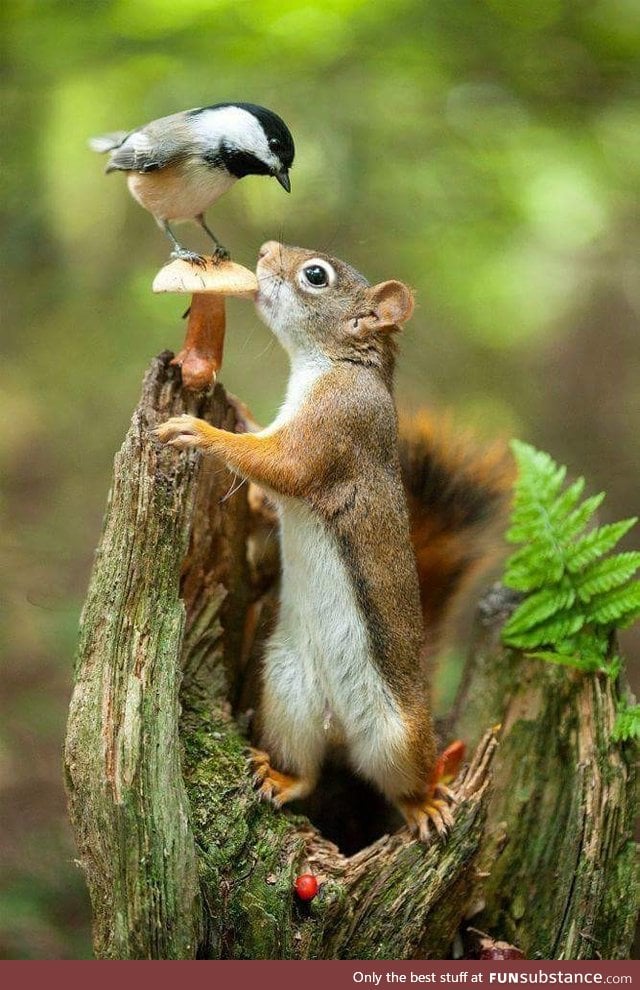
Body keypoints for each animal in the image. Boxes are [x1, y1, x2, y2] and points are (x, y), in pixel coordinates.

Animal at [155, 242, 510, 844]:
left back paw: (425, 804)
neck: (335, 364)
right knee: (308, 770)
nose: (265, 251)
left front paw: (201, 432)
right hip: (286, 691)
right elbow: (268, 487)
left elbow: (280, 466)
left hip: (398, 735)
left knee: (404, 781)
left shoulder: (336, 428)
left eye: (315, 276)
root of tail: (340, 726)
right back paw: (281, 777)